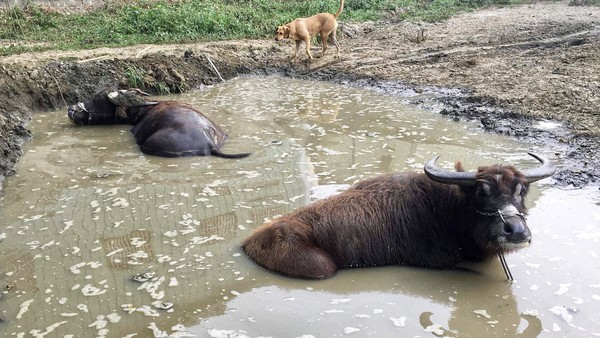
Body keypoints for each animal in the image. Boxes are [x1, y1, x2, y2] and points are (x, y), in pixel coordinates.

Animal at [241, 154, 556, 280]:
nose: (516, 230)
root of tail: (249, 242)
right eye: (482, 192)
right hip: (320, 268)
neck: (447, 211)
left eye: (521, 190)